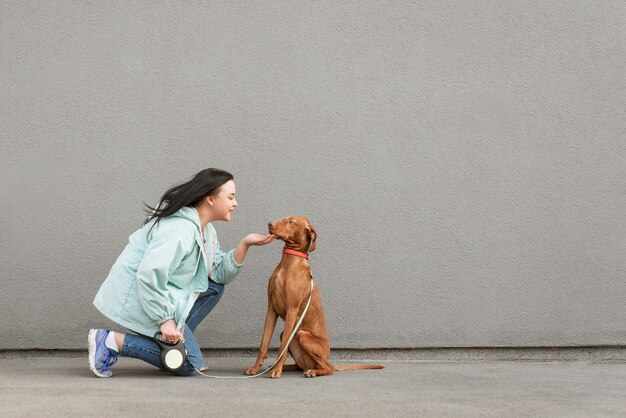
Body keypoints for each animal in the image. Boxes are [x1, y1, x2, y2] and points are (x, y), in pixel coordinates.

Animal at [243, 217, 380, 378]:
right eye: (283, 219)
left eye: (291, 221)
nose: (270, 224)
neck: (288, 263)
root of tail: (328, 361)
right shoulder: (271, 309)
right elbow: (263, 344)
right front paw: (255, 368)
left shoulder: (292, 310)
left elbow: (281, 349)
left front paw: (276, 371)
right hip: (290, 336)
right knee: (299, 365)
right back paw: (282, 367)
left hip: (302, 335)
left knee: (327, 369)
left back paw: (311, 371)